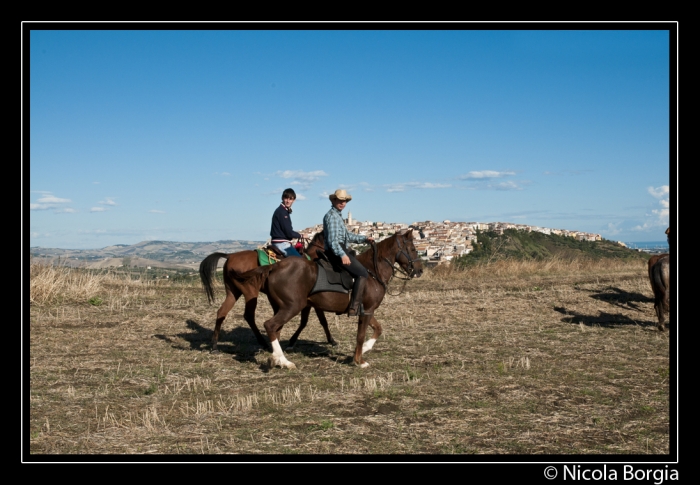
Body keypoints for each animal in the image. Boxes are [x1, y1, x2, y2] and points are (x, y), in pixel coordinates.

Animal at [198, 232, 338, 350]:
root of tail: (230, 255)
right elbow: (318, 321)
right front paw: (331, 340)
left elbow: (316, 320)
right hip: (250, 293)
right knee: (249, 316)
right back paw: (263, 343)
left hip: (233, 292)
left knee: (221, 312)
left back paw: (214, 345)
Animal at [235, 229, 422, 368]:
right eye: (413, 249)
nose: (419, 270)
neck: (372, 271)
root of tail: (274, 267)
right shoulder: (367, 310)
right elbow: (360, 335)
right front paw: (359, 361)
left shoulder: (367, 310)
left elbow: (378, 329)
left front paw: (364, 350)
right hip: (292, 307)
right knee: (270, 325)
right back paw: (285, 361)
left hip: (281, 307)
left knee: (276, 329)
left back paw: (276, 358)